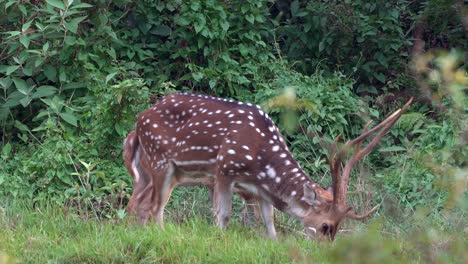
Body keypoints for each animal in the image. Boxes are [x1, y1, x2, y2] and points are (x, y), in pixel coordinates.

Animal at [124, 92, 414, 239]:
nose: (326, 250)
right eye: (325, 226)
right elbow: (223, 215)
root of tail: (139, 120)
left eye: (338, 229)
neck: (261, 160)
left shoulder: (258, 188)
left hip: (159, 172)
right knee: (154, 207)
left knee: (139, 204)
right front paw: (220, 239)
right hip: (161, 161)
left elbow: (270, 222)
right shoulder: (224, 168)